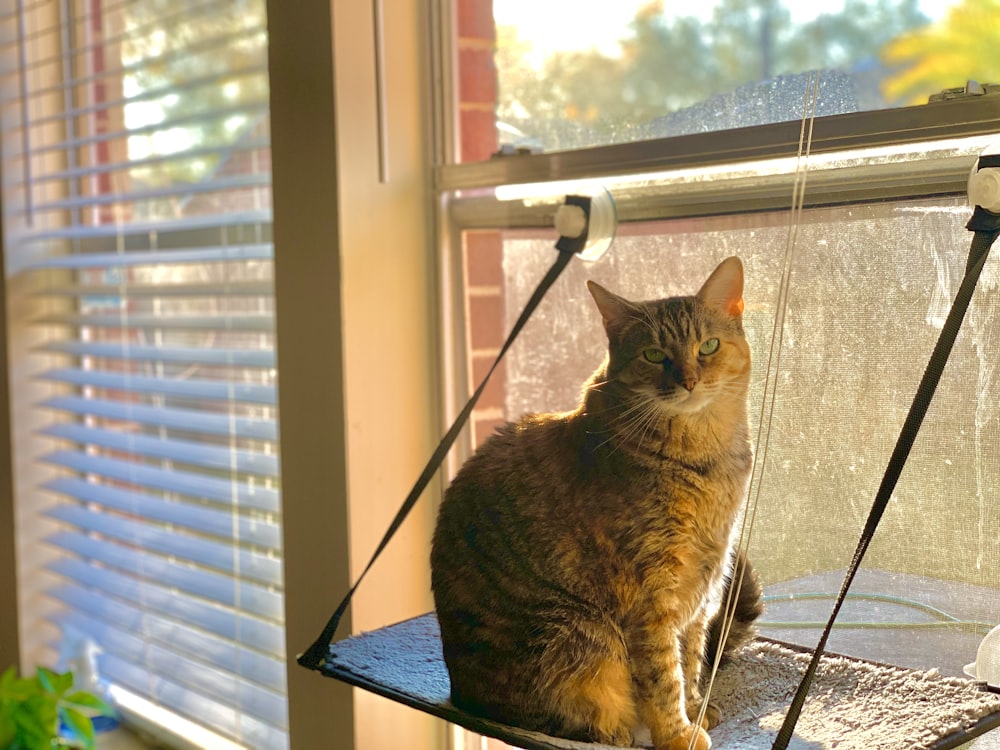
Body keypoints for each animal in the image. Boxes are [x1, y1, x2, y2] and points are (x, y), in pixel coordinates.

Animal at [428, 258, 756, 750]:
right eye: (653, 355)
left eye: (709, 346)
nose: (688, 381)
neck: (704, 454)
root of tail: (461, 693)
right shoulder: (651, 596)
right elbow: (664, 676)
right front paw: (678, 732)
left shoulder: (703, 583)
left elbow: (692, 656)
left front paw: (697, 707)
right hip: (579, 634)